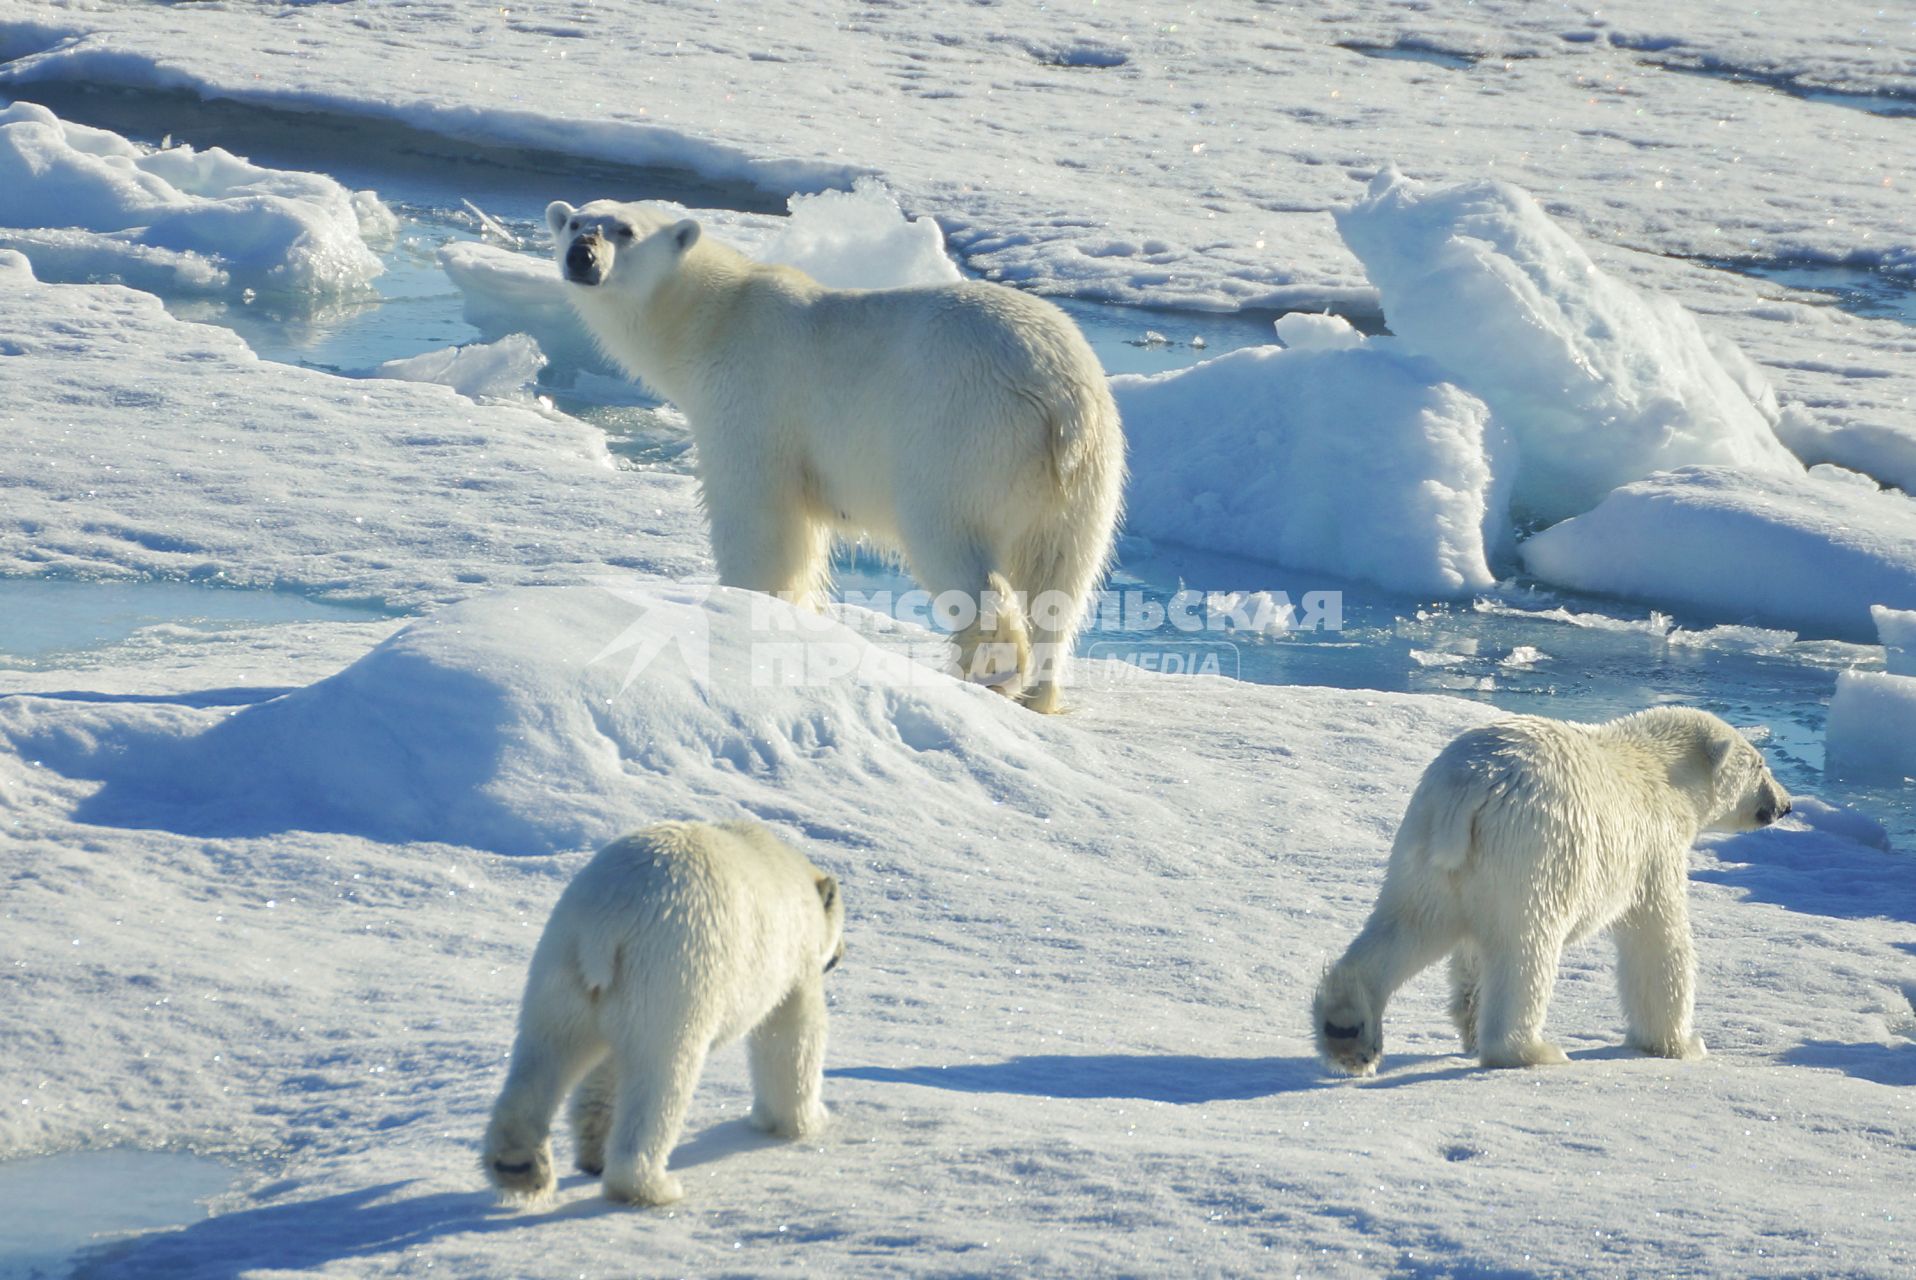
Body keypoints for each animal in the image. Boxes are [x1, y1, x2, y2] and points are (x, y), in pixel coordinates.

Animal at [482, 820, 843, 1211]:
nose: (839, 954)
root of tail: (606, 921)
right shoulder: (794, 962)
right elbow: (791, 1036)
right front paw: (804, 1121)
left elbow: (603, 1072)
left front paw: (594, 1152)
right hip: (671, 972)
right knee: (662, 1074)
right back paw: (650, 1186)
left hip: (561, 969)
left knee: (545, 1054)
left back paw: (518, 1166)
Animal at [547, 197, 1126, 708]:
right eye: (575, 222)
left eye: (624, 230)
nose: (582, 256)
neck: (714, 320)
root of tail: (1058, 397)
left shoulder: (753, 398)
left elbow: (759, 520)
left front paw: (745, 611)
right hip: (1086, 478)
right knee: (1061, 577)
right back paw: (1040, 694)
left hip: (963, 437)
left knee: (956, 548)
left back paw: (988, 674)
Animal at [1310, 705, 1785, 1073]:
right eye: (1761, 764)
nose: (1784, 804)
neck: (1657, 768)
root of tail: (1469, 786)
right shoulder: (1651, 848)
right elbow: (1657, 940)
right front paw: (1680, 1044)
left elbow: (1468, 959)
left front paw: (1468, 1023)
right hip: (1536, 850)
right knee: (1526, 949)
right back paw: (1533, 1051)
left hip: (1424, 852)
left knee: (1407, 927)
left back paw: (1348, 1032)